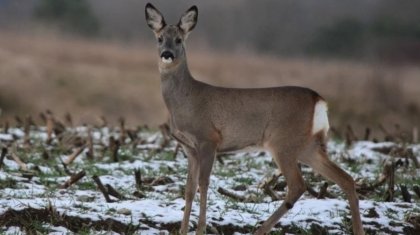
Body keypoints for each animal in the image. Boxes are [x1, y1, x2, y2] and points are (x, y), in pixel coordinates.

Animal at [144, 3, 364, 235]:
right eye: (159, 38)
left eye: (179, 39)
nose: (167, 54)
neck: (186, 100)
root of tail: (319, 100)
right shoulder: (189, 147)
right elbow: (189, 188)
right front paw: (183, 230)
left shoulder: (208, 139)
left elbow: (203, 184)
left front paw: (200, 229)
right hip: (308, 146)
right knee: (346, 179)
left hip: (283, 142)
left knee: (298, 185)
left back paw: (260, 229)